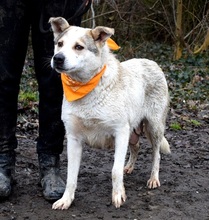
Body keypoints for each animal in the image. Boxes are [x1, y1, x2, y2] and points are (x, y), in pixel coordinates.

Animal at [49, 16, 171, 210]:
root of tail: (152, 62)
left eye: (78, 47)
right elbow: (71, 176)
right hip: (132, 130)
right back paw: (128, 167)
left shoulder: (120, 132)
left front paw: (118, 195)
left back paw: (153, 178)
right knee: (136, 147)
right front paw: (66, 200)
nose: (57, 58)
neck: (87, 87)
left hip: (154, 127)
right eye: (60, 44)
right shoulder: (74, 138)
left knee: (156, 154)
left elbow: (115, 171)